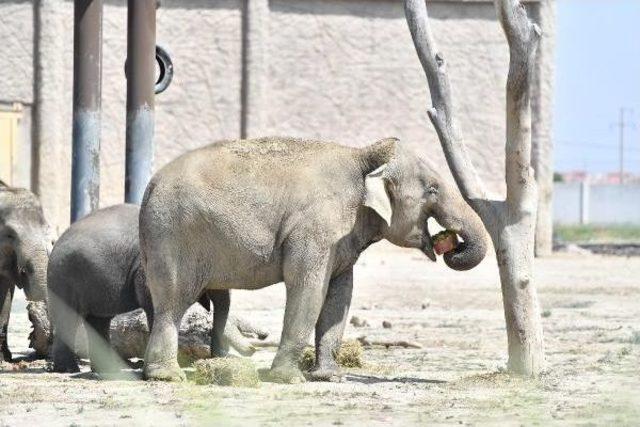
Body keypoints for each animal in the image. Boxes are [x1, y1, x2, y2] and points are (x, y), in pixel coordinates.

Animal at [48, 204, 252, 374]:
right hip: (65, 278)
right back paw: (68, 369)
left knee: (98, 321)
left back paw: (107, 371)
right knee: (70, 319)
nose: (217, 356)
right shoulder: (149, 270)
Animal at [140, 138, 488, 384]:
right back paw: (167, 376)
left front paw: (330, 377)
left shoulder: (341, 238)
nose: (451, 245)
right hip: (173, 236)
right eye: (433, 189)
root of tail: (150, 186)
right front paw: (290, 379)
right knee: (172, 303)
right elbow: (308, 289)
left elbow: (339, 296)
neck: (363, 157)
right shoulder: (316, 229)